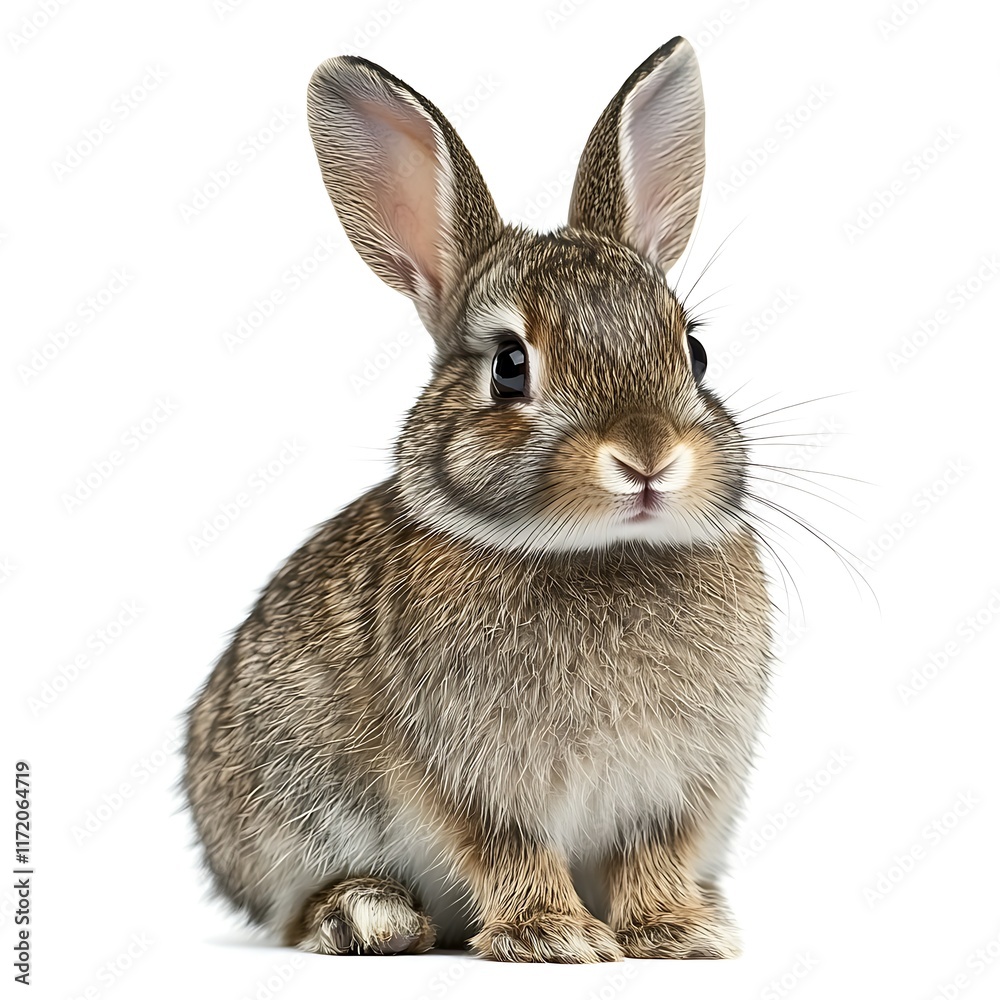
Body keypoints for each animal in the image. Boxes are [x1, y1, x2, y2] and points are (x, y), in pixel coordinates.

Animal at [183, 36, 773, 963]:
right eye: (509, 366)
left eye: (695, 352)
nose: (647, 458)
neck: (597, 553)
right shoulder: (470, 779)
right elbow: (509, 849)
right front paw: (554, 938)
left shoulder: (674, 786)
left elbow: (653, 855)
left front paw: (677, 934)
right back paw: (369, 916)